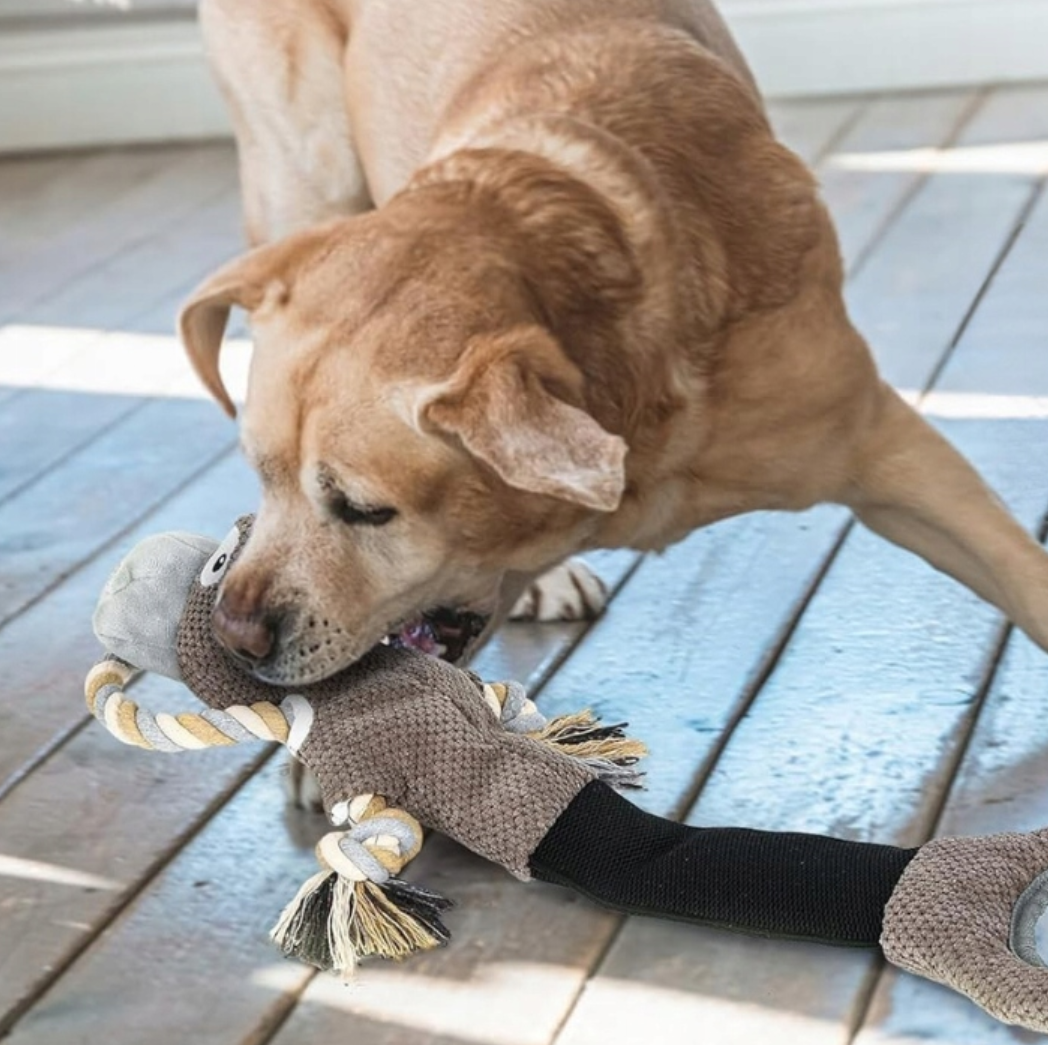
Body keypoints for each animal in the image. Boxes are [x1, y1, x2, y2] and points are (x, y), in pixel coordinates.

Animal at [180, 0, 1048, 697]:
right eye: (260, 475)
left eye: (366, 510)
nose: (232, 635)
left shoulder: (886, 447)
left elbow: (1023, 574)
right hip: (306, 165)